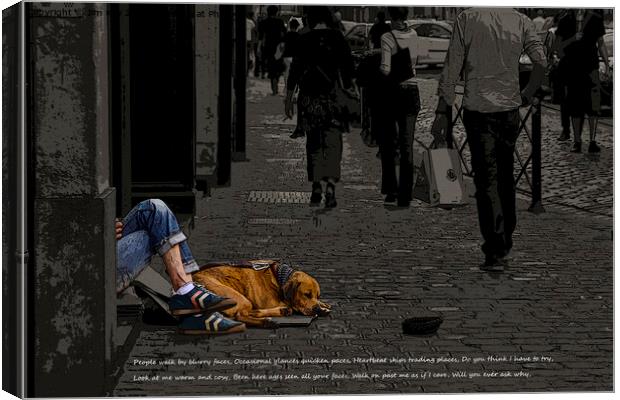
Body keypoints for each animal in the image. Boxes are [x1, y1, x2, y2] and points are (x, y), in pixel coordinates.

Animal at [193, 260, 330, 328]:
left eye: (317, 295)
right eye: (306, 294)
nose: (317, 309)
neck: (279, 276)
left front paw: (323, 305)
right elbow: (291, 305)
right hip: (239, 298)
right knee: (240, 315)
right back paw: (266, 322)